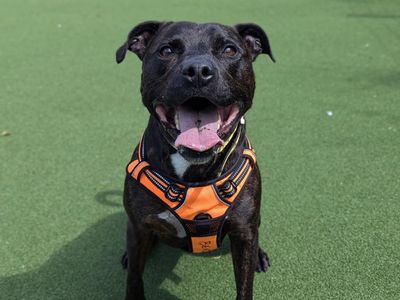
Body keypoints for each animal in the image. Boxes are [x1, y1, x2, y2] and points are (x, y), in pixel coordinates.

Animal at [115, 19, 276, 298]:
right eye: (166, 50)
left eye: (230, 50)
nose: (198, 70)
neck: (195, 174)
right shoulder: (138, 227)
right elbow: (134, 279)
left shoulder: (244, 231)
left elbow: (244, 287)